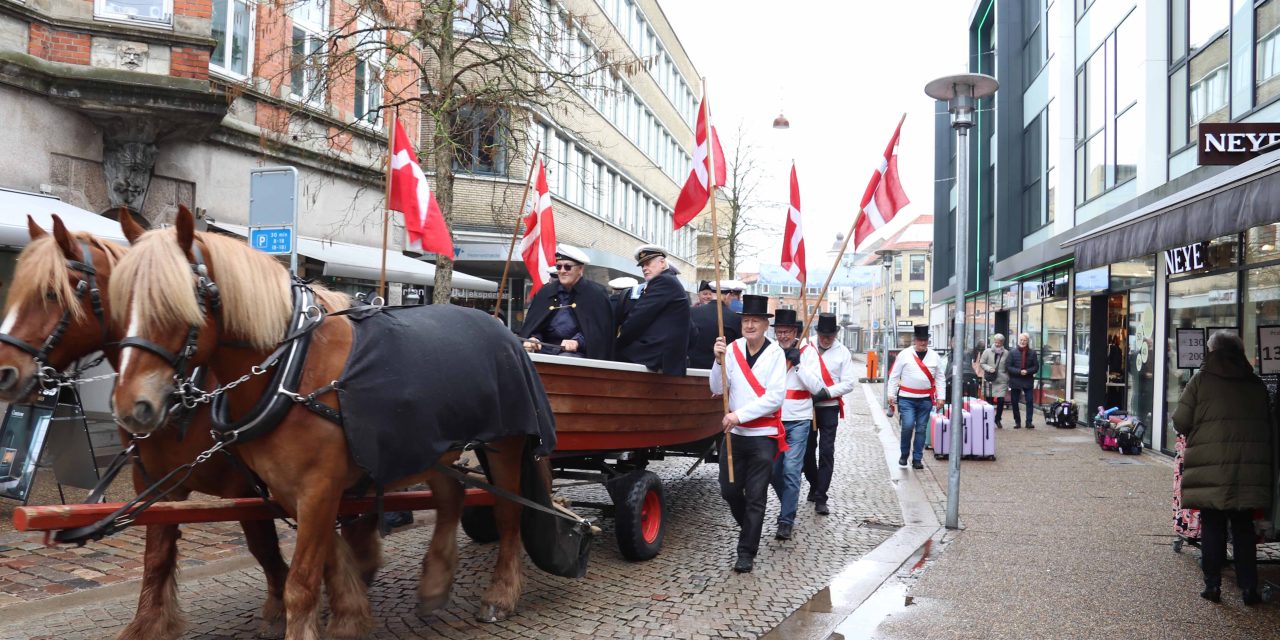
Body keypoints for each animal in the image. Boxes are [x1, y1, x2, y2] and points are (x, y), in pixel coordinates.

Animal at [0, 213, 373, 640]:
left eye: (50, 293)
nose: (4, 371)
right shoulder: (156, 482)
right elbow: (158, 555)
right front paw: (148, 625)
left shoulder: (247, 487)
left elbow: (265, 548)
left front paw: (280, 608)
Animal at [104, 207, 535, 637]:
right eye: (119, 303)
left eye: (174, 303)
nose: (130, 407)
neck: (293, 370)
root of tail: (500, 326)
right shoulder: (290, 490)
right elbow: (330, 558)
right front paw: (350, 614)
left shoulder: (317, 488)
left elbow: (302, 582)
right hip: (431, 449)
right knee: (451, 496)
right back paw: (435, 583)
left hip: (507, 444)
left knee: (509, 514)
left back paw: (501, 593)